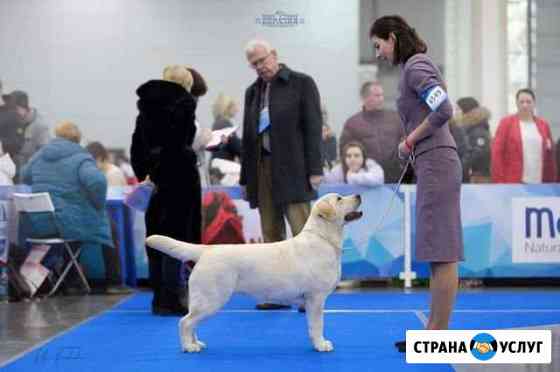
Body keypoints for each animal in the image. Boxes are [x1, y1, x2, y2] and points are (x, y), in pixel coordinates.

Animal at [145, 193, 364, 354]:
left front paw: (316, 343)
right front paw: (321, 345)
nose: (358, 195)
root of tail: (206, 250)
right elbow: (317, 325)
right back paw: (188, 347)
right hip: (211, 299)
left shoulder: (311, 300)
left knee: (192, 323)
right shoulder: (315, 298)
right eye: (339, 199)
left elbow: (312, 326)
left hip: (203, 300)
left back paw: (196, 343)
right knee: (185, 322)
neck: (323, 238)